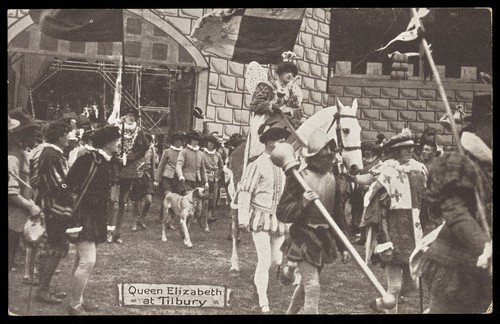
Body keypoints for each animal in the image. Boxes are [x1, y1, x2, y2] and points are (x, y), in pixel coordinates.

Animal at [229, 98, 364, 274]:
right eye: (346, 130)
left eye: (360, 130)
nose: (357, 167)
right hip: (235, 198)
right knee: (235, 227)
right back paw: (234, 263)